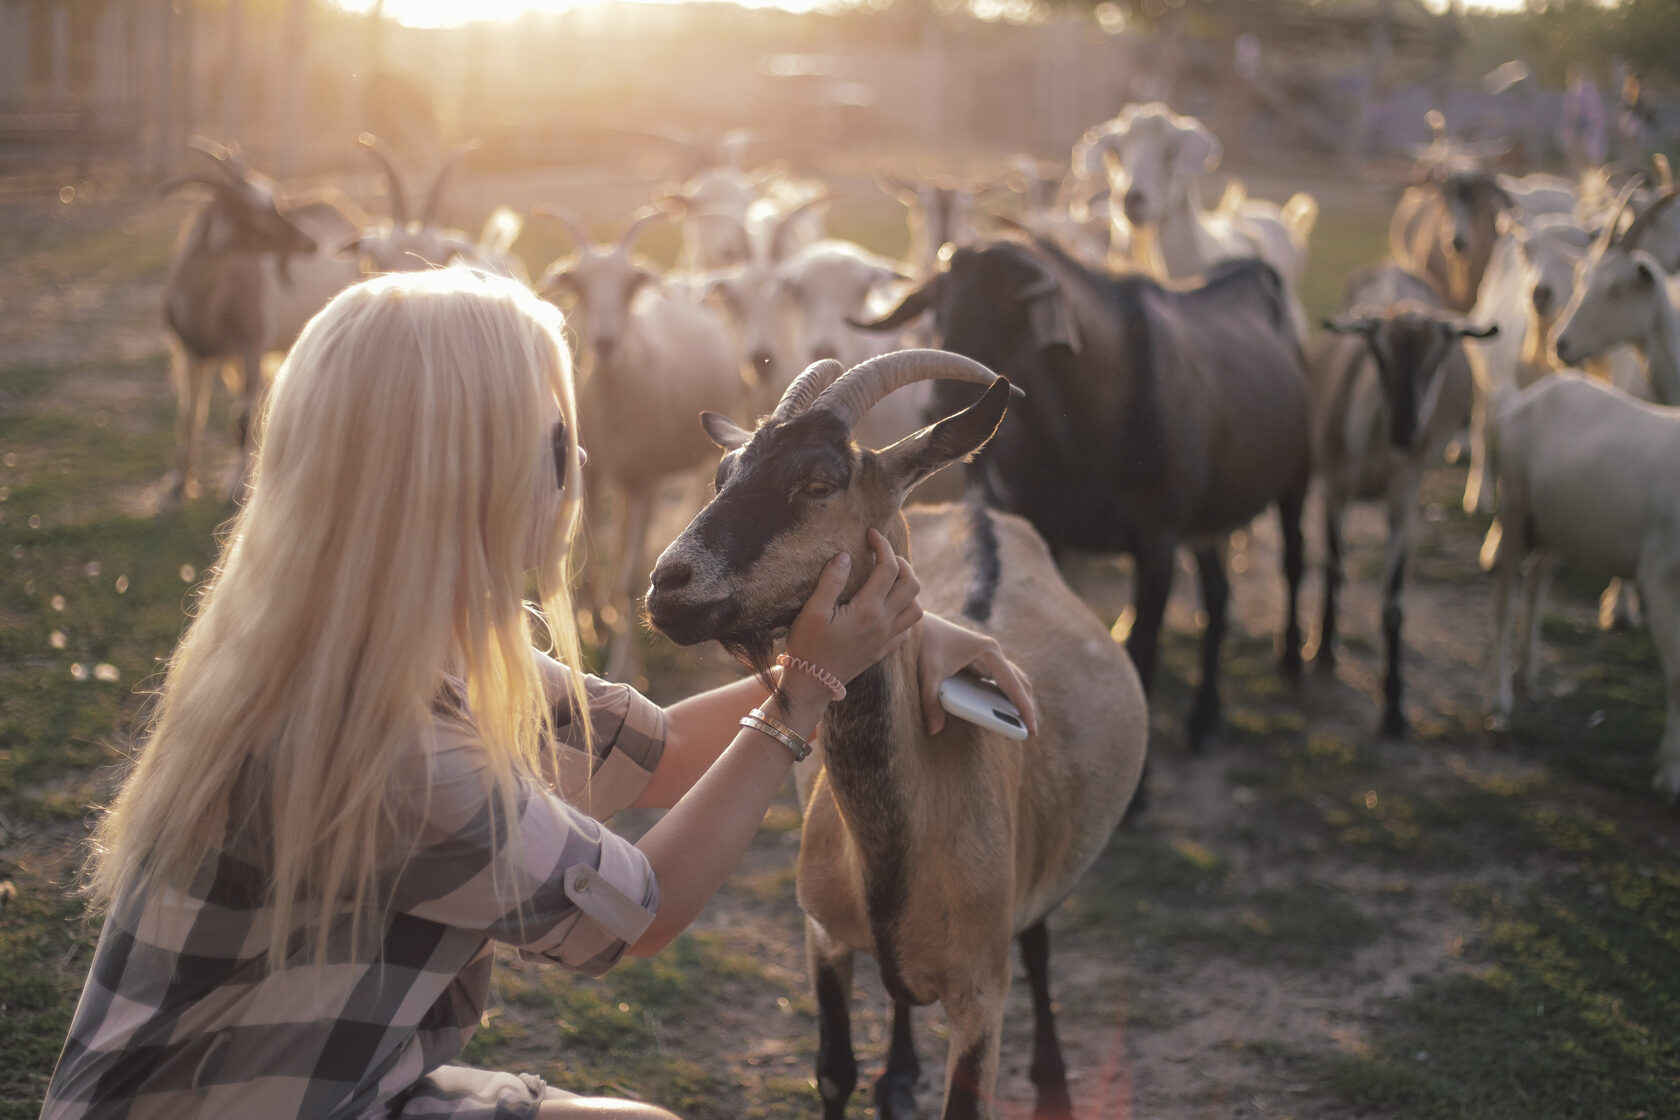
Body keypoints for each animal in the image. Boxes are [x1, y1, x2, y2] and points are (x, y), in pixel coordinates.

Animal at [159, 136, 361, 500]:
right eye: (250, 210)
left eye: (276, 201)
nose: (311, 240)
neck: (206, 305)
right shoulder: (193, 352)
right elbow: (189, 418)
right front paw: (178, 482)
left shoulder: (250, 349)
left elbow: (241, 421)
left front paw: (235, 486)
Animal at [537, 209, 749, 685]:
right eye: (578, 284)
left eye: (630, 284)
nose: (605, 342)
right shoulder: (593, 474)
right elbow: (589, 567)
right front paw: (593, 624)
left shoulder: (648, 480)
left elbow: (636, 578)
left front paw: (625, 666)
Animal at [1491, 372, 1680, 802]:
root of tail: (1536, 390)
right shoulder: (1660, 578)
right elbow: (1678, 676)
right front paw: (1670, 774)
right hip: (1515, 506)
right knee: (1504, 597)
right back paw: (1499, 697)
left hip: (1557, 526)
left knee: (1537, 579)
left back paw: (1526, 671)